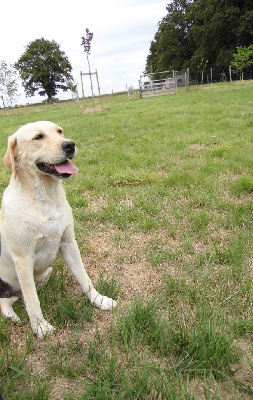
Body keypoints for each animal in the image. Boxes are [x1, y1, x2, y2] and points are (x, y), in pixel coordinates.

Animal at [0, 121, 116, 338]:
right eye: (38, 137)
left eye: (59, 131)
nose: (70, 145)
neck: (46, 199)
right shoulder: (23, 259)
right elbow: (33, 301)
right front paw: (40, 327)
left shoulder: (68, 244)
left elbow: (85, 278)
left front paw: (99, 300)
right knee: (7, 301)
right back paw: (12, 315)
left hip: (45, 272)